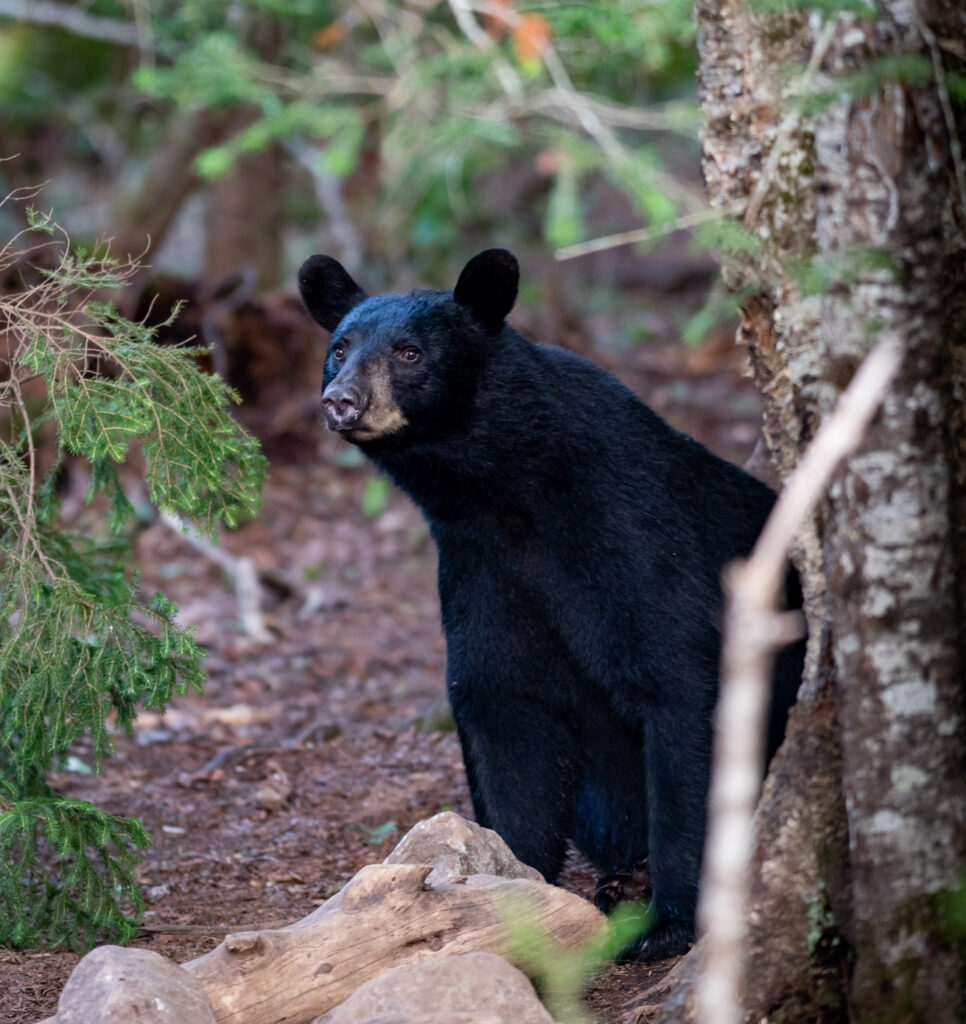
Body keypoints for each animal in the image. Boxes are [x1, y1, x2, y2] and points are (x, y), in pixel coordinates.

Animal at [298, 248, 805, 960]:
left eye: (408, 352)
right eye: (339, 348)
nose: (342, 399)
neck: (512, 496)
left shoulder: (640, 540)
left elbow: (687, 693)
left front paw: (671, 921)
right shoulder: (484, 570)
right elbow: (503, 709)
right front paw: (509, 891)